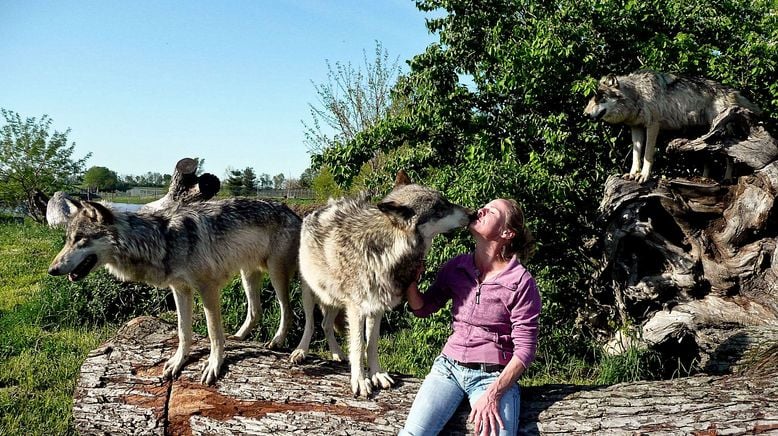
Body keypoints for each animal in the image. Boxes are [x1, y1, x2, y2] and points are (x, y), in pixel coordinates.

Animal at [46, 198, 300, 384]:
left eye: (81, 239)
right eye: (68, 240)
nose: (52, 270)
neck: (161, 240)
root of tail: (292, 211)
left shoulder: (207, 289)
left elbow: (213, 333)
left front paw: (214, 365)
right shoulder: (180, 290)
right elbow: (183, 331)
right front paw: (179, 362)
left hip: (276, 276)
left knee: (287, 310)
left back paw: (277, 342)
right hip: (248, 275)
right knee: (256, 311)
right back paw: (238, 337)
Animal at [292, 172, 472, 396]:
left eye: (446, 202)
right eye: (439, 209)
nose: (473, 213)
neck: (383, 250)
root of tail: (317, 209)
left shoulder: (377, 307)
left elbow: (372, 344)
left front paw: (377, 374)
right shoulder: (357, 309)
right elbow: (359, 345)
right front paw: (360, 380)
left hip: (334, 299)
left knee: (326, 324)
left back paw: (336, 353)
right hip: (311, 293)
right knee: (310, 324)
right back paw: (300, 351)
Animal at [584, 70, 756, 183]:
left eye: (600, 98)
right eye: (593, 97)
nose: (585, 114)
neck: (638, 93)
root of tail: (731, 91)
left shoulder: (653, 126)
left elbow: (647, 155)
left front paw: (644, 176)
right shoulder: (636, 128)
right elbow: (635, 155)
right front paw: (632, 174)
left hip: (722, 133)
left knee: (729, 156)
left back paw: (727, 178)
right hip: (705, 135)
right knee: (707, 158)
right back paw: (704, 179)